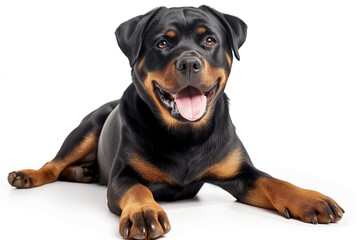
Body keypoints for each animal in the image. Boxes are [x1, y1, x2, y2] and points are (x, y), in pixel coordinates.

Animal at [7, 5, 344, 240]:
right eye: (162, 44)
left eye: (209, 39)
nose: (189, 62)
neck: (186, 135)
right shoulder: (122, 177)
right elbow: (137, 190)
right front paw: (144, 213)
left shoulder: (240, 173)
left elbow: (273, 180)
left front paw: (309, 198)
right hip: (88, 127)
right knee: (54, 165)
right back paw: (29, 175)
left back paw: (83, 172)